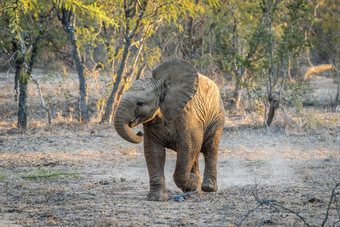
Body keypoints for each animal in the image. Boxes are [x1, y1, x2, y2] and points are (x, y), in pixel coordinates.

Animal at [115, 59, 226, 200]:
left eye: (140, 103)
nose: (139, 133)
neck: (162, 85)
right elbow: (153, 150)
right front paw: (156, 198)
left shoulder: (188, 116)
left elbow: (187, 147)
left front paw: (193, 183)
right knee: (195, 154)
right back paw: (197, 188)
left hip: (217, 116)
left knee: (209, 148)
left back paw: (208, 188)